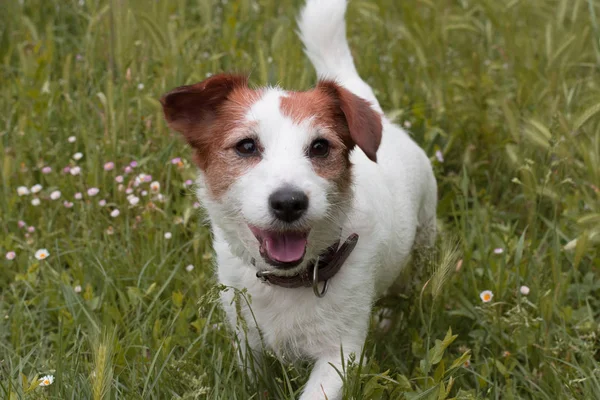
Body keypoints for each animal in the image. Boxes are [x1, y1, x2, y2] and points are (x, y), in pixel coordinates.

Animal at [162, 1, 438, 398]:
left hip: (424, 238)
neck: (289, 281)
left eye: (320, 147)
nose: (289, 202)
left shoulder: (340, 354)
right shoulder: (246, 342)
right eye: (246, 146)